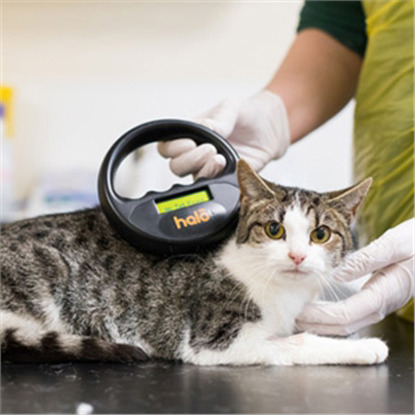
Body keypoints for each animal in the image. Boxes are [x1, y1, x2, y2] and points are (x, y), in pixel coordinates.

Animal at [0, 161, 390, 366]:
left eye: (320, 234)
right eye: (274, 229)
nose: (297, 256)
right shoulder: (215, 340)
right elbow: (296, 343)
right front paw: (365, 347)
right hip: (43, 270)